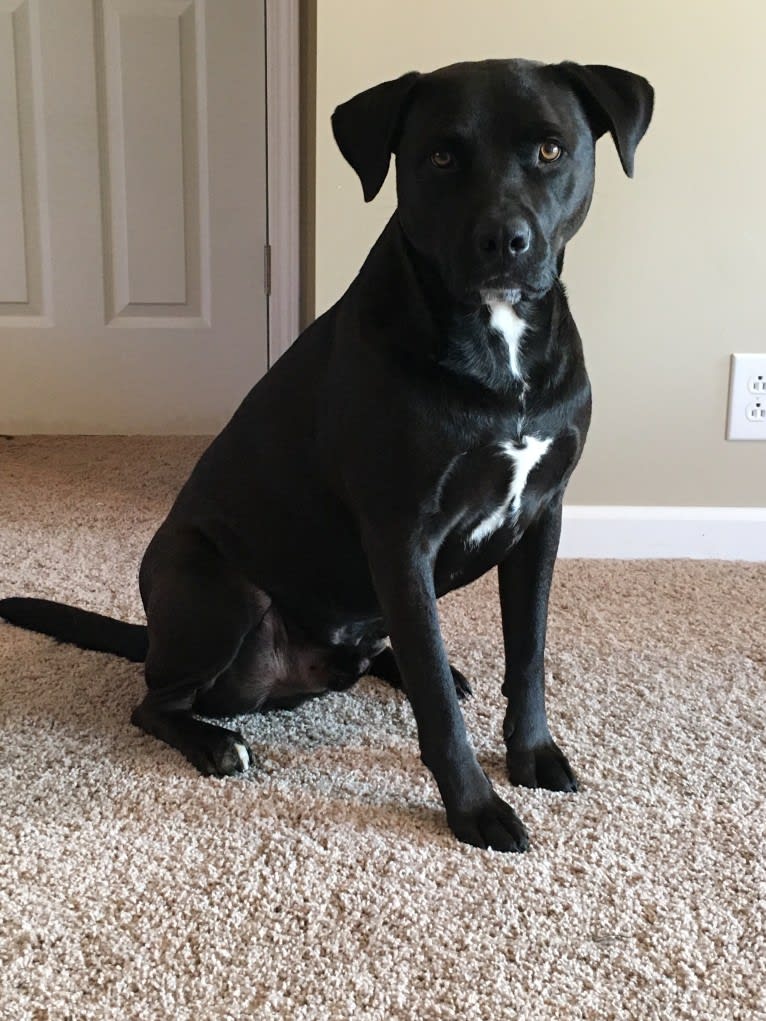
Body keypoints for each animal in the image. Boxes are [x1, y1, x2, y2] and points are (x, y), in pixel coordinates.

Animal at [3, 57, 657, 853]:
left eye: (551, 150)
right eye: (441, 156)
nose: (505, 241)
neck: (496, 343)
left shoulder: (541, 518)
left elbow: (527, 655)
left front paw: (532, 753)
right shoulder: (402, 534)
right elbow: (439, 708)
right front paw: (475, 807)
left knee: (394, 648)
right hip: (221, 592)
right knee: (155, 701)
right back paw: (215, 741)